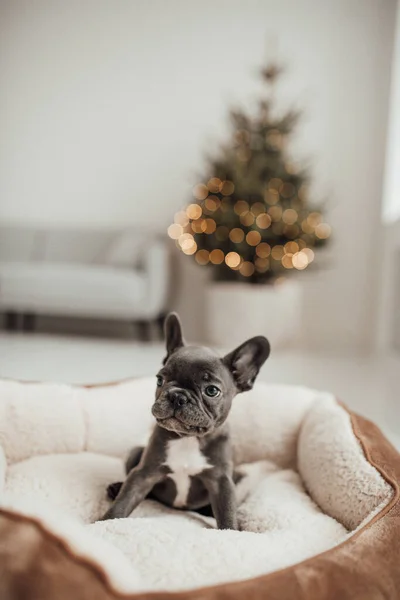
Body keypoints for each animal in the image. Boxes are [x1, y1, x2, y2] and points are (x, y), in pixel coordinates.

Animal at [99, 314, 268, 528]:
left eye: (212, 390)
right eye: (159, 380)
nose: (177, 396)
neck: (188, 438)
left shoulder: (221, 481)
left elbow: (227, 513)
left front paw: (231, 531)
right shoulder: (145, 473)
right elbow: (124, 501)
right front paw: (103, 523)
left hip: (240, 476)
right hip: (135, 452)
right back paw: (116, 488)